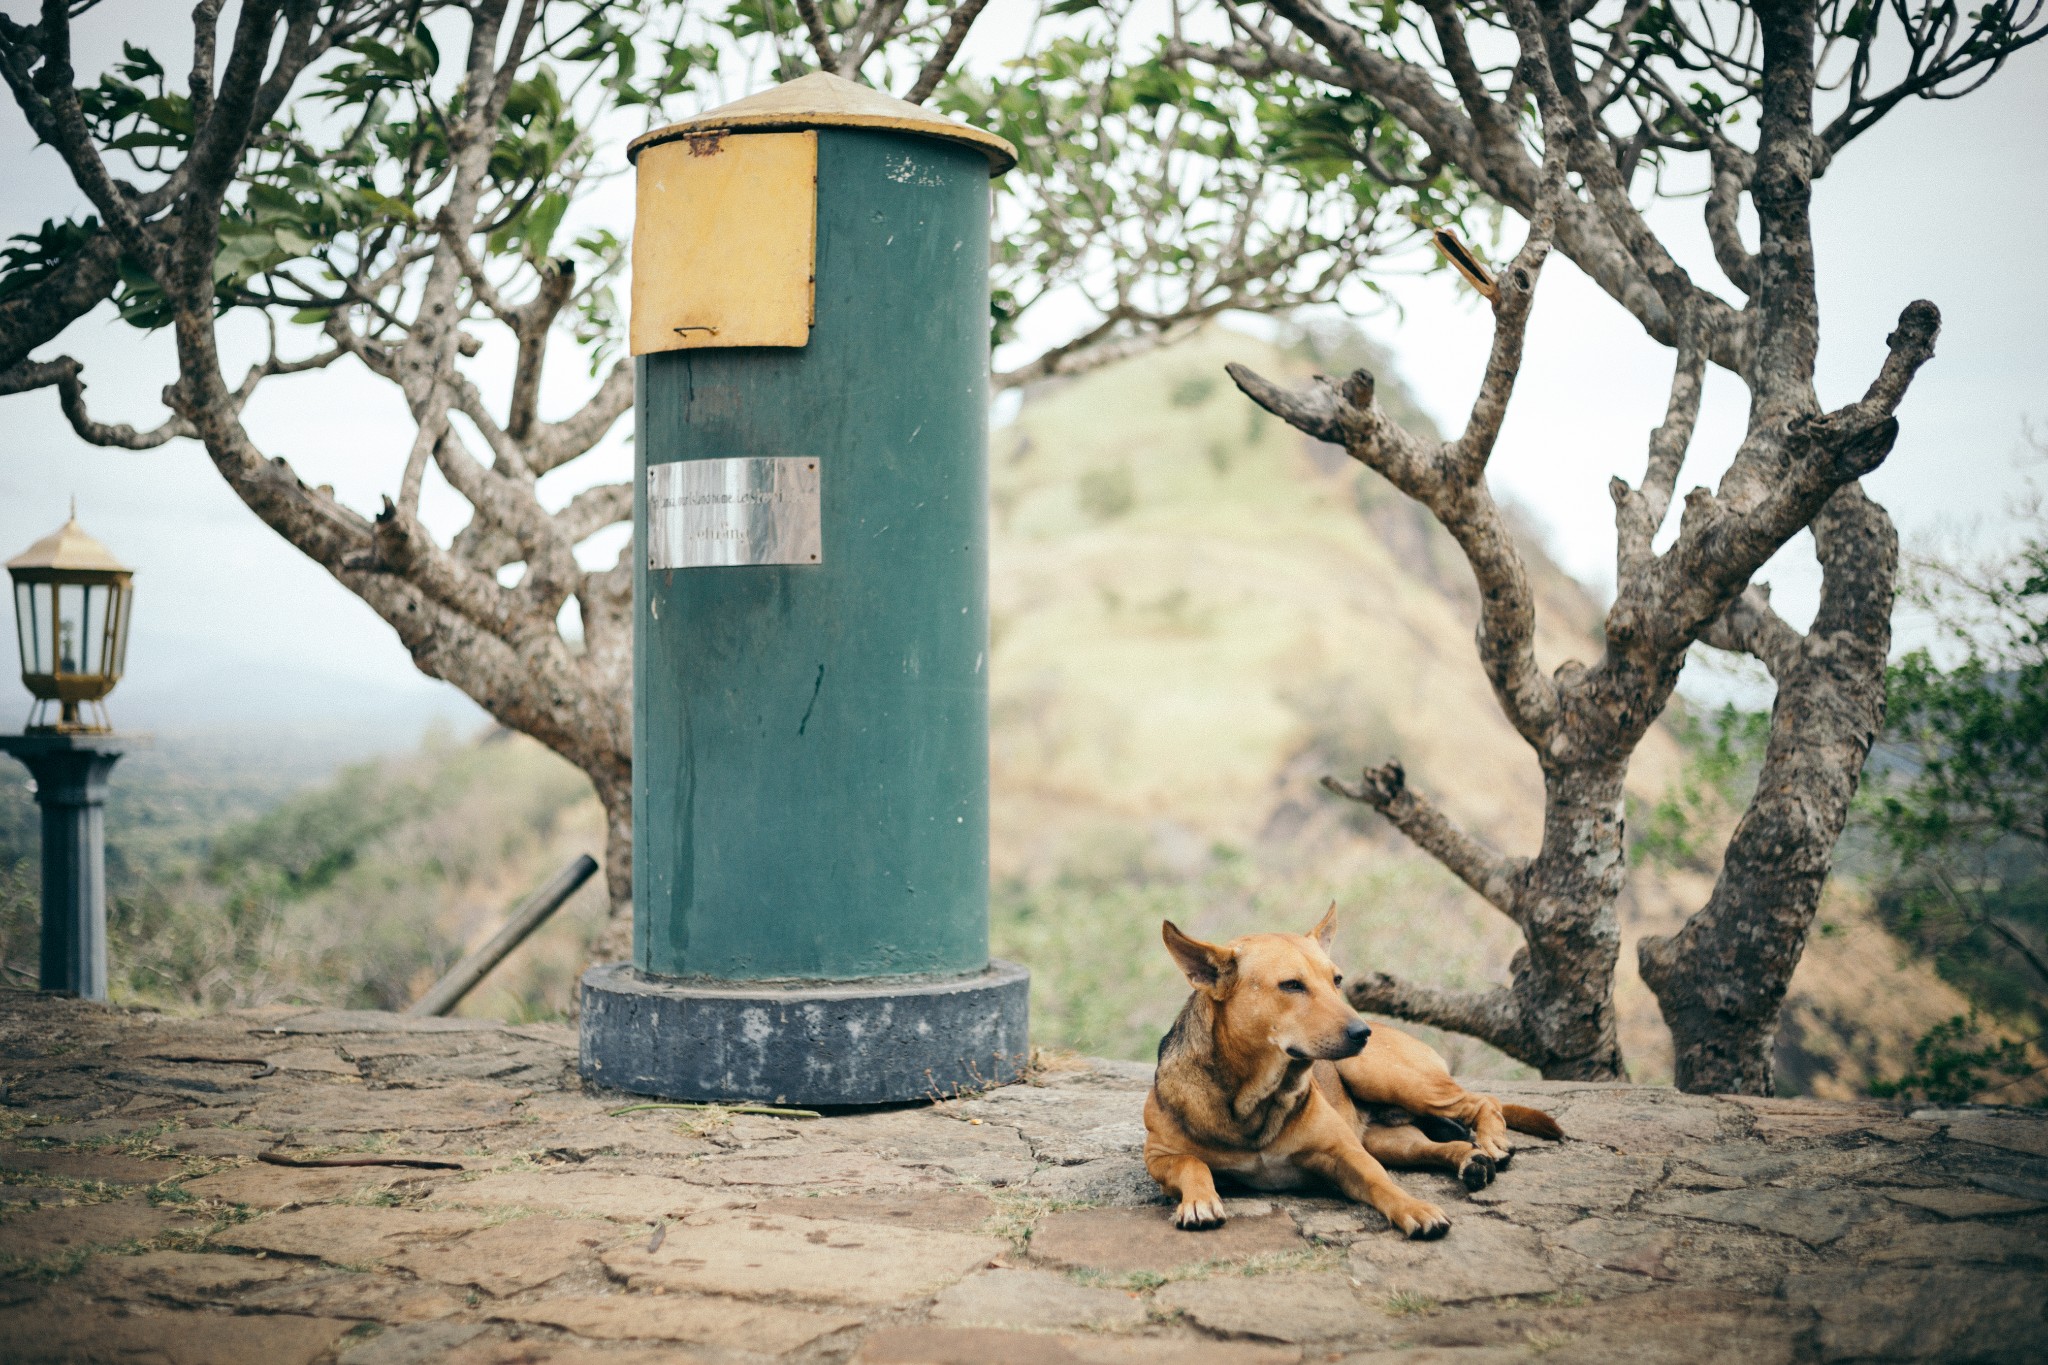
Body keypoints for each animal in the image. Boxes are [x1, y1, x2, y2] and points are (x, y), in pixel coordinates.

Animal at [1146, 908, 1556, 1236]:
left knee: (1485, 1100)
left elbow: (1382, 1183)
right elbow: (1193, 1163)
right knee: (1440, 1145)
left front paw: (1414, 1208)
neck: (1256, 1096)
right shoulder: (1158, 1155)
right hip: (1391, 1142)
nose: (1362, 1033)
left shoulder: (1345, 1153)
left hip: (1393, 1080)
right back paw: (1471, 1160)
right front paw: (1199, 1201)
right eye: (1291, 985)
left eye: (1337, 980)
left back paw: (1491, 1140)